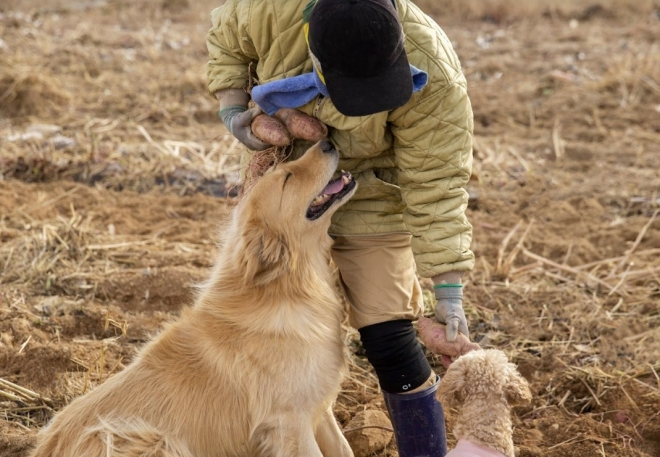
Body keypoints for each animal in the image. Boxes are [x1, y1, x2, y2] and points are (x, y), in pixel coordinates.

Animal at [32, 139, 356, 456]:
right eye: (287, 178)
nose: (327, 141)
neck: (289, 286)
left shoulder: (320, 409)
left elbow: (345, 449)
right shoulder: (289, 422)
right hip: (147, 438)